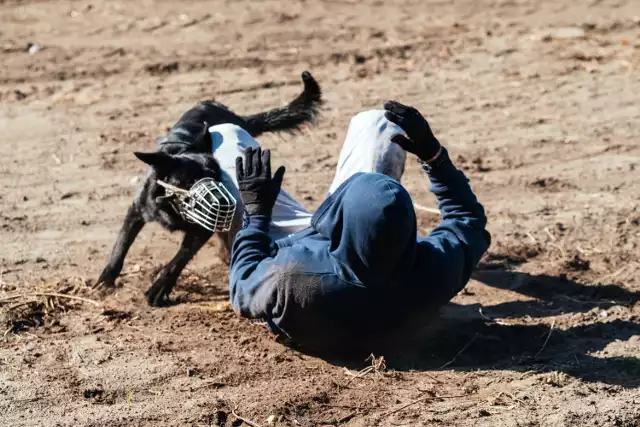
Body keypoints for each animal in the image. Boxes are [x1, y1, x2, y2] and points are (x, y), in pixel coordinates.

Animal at [97, 73, 322, 308]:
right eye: (190, 180)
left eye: (217, 175)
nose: (224, 202)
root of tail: (235, 115)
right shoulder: (137, 210)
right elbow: (121, 245)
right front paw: (106, 279)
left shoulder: (202, 229)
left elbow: (179, 259)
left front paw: (158, 289)